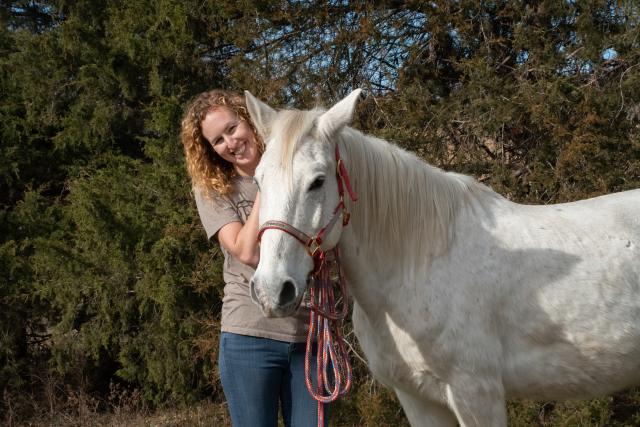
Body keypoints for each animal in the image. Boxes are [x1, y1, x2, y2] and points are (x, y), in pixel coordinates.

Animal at [245, 89, 640, 426]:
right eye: (259, 181)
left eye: (318, 181)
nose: (271, 291)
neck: (419, 262)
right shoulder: (418, 398)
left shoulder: (477, 393)